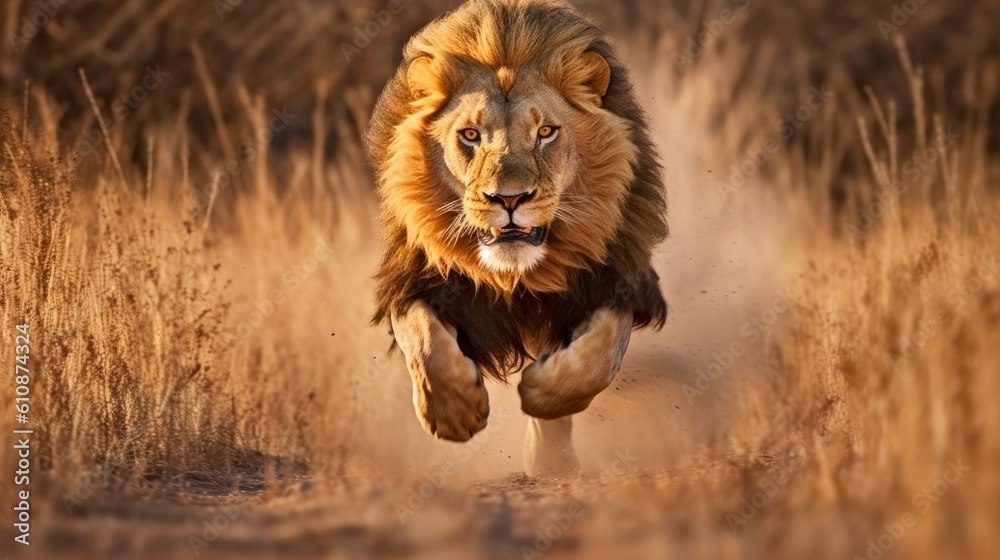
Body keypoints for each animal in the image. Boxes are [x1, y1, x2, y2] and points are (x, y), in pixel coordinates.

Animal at [366, 0, 667, 474]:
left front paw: (543, 397)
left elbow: (600, 354)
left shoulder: (619, 278)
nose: (508, 198)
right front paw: (453, 414)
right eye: (470, 135)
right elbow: (425, 343)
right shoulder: (413, 278)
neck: (516, 277)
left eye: (545, 132)